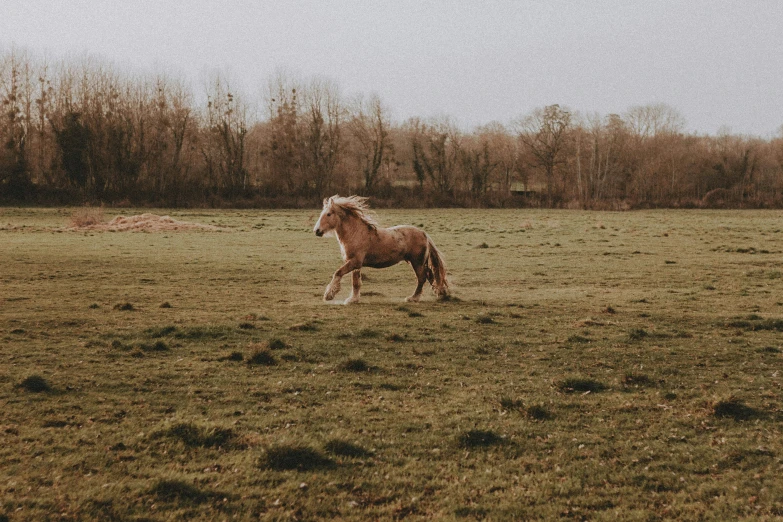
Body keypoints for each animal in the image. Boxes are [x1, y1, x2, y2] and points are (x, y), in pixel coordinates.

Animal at [310, 194, 448, 300]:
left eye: (328, 214)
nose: (317, 231)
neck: (356, 234)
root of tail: (424, 234)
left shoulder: (355, 262)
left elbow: (338, 273)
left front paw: (329, 295)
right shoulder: (355, 264)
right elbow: (356, 282)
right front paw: (353, 299)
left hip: (417, 262)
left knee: (422, 278)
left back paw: (413, 298)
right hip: (418, 262)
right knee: (431, 276)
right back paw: (440, 294)